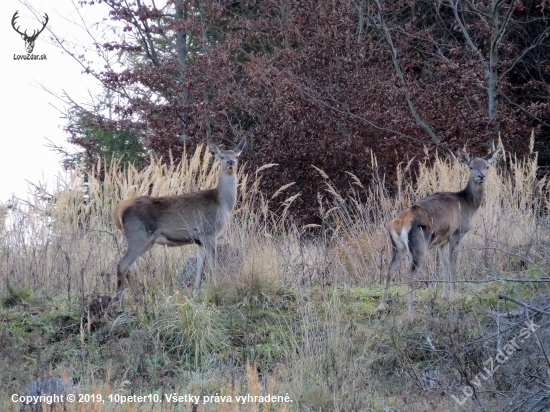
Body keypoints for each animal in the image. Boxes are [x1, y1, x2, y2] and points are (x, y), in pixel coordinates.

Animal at [112, 138, 246, 300]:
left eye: (237, 156)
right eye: (221, 157)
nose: (230, 162)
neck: (223, 205)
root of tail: (117, 211)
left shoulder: (199, 240)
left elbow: (200, 266)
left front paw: (196, 293)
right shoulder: (208, 232)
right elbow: (213, 265)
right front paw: (217, 288)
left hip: (142, 240)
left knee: (129, 267)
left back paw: (137, 298)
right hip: (138, 236)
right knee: (122, 264)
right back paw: (119, 300)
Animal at [380, 148, 500, 316]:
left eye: (487, 166)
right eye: (471, 167)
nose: (481, 176)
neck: (468, 205)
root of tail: (398, 223)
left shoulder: (442, 240)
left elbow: (444, 265)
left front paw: (444, 296)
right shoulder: (456, 233)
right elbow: (453, 265)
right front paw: (454, 297)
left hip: (397, 247)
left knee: (389, 271)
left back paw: (381, 306)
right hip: (419, 245)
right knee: (410, 275)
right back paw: (410, 314)